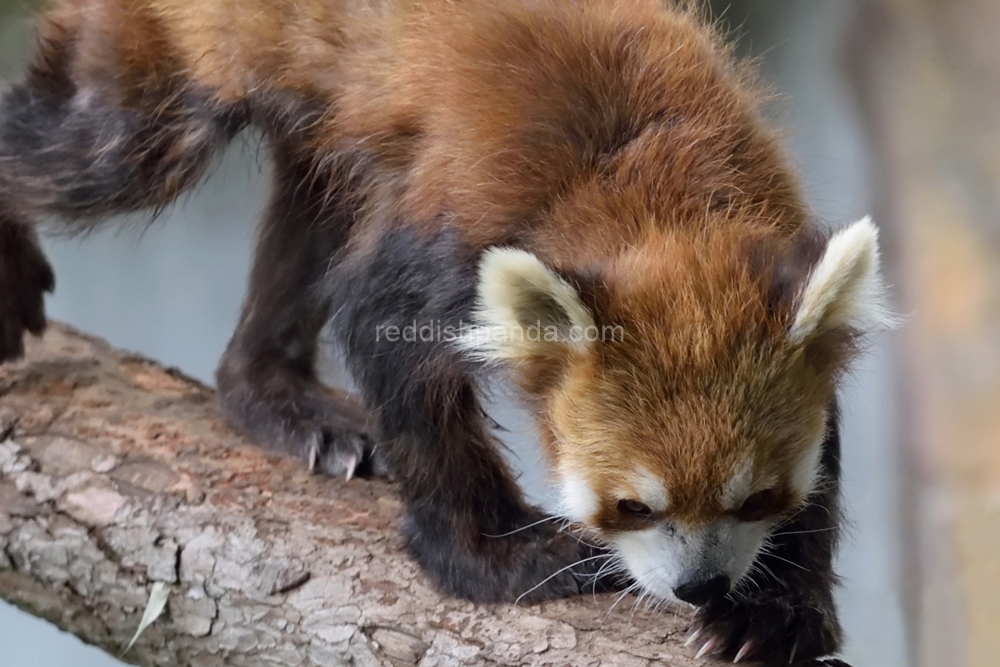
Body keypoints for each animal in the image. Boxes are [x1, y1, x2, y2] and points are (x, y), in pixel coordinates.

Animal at [0, 2, 892, 664]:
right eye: (631, 505)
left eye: (758, 496)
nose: (701, 584)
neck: (654, 197)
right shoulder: (458, 227)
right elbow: (388, 340)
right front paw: (497, 559)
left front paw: (776, 607)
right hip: (168, 73)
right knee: (98, 148)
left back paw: (277, 396)